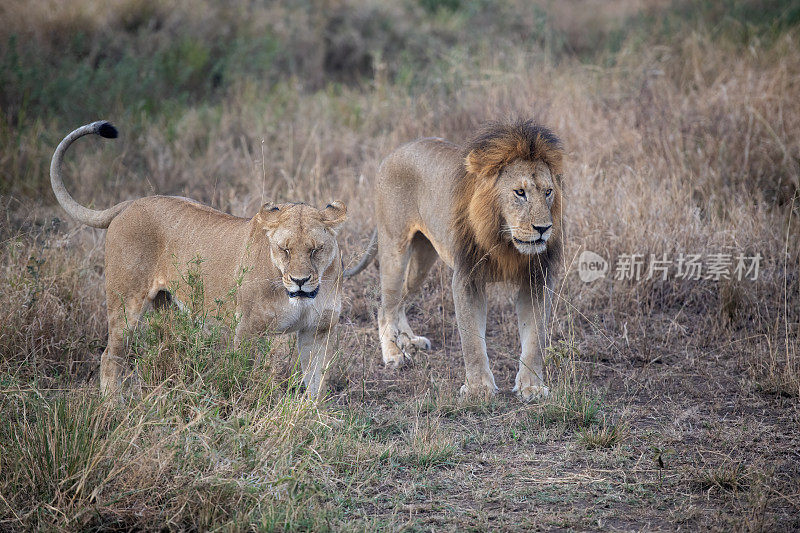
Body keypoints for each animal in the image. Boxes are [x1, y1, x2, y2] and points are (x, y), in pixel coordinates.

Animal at [50, 119, 346, 394]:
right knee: (110, 357)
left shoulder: (319, 330)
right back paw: (113, 405)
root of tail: (130, 203)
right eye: (285, 249)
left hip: (166, 306)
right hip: (126, 303)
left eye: (315, 249)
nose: (300, 281)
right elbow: (244, 378)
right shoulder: (249, 331)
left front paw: (314, 413)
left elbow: (317, 382)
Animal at [346, 119, 564, 400]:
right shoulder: (467, 278)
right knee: (387, 306)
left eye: (548, 192)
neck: (505, 240)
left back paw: (408, 340)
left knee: (403, 300)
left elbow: (535, 338)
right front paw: (478, 388)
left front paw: (532, 386)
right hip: (395, 246)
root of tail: (394, 152)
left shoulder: (536, 277)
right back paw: (394, 353)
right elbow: (471, 340)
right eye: (519, 192)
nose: (543, 228)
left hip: (423, 259)